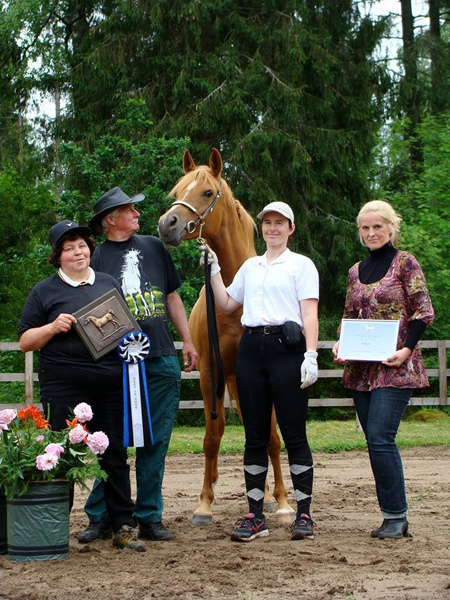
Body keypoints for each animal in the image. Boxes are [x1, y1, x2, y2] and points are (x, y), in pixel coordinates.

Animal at [158, 149, 296, 524]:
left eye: (207, 193)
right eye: (177, 191)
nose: (167, 224)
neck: (237, 293)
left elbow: (272, 439)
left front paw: (282, 501)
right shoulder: (210, 374)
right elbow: (212, 437)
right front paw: (204, 503)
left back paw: (267, 495)